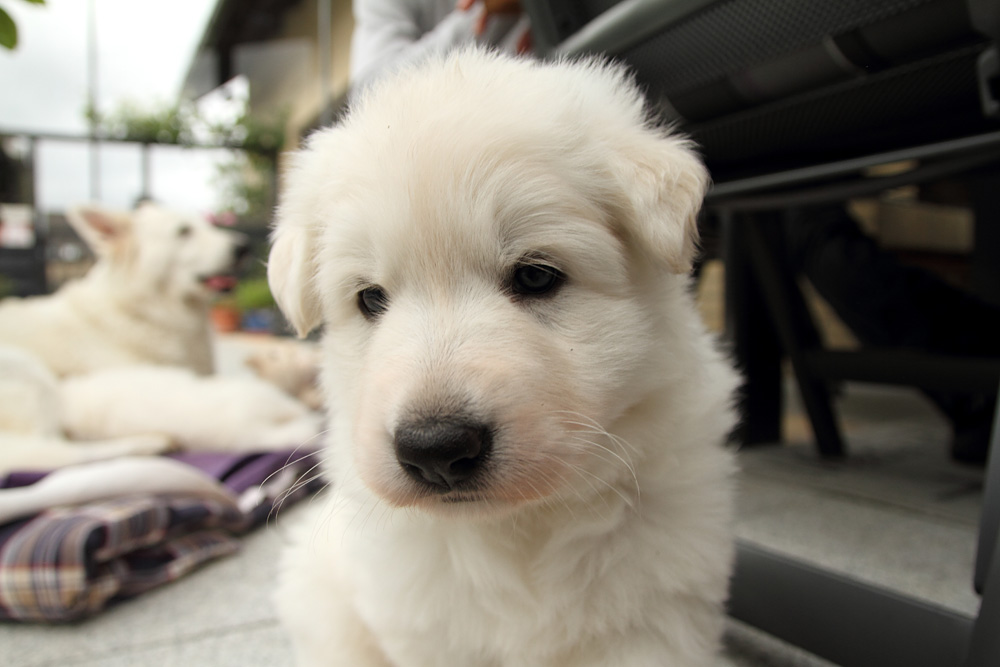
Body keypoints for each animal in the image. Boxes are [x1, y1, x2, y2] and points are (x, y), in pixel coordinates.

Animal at [268, 49, 740, 666]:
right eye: (370, 299)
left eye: (537, 276)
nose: (436, 449)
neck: (518, 525)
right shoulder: (426, 630)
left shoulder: (651, 619)